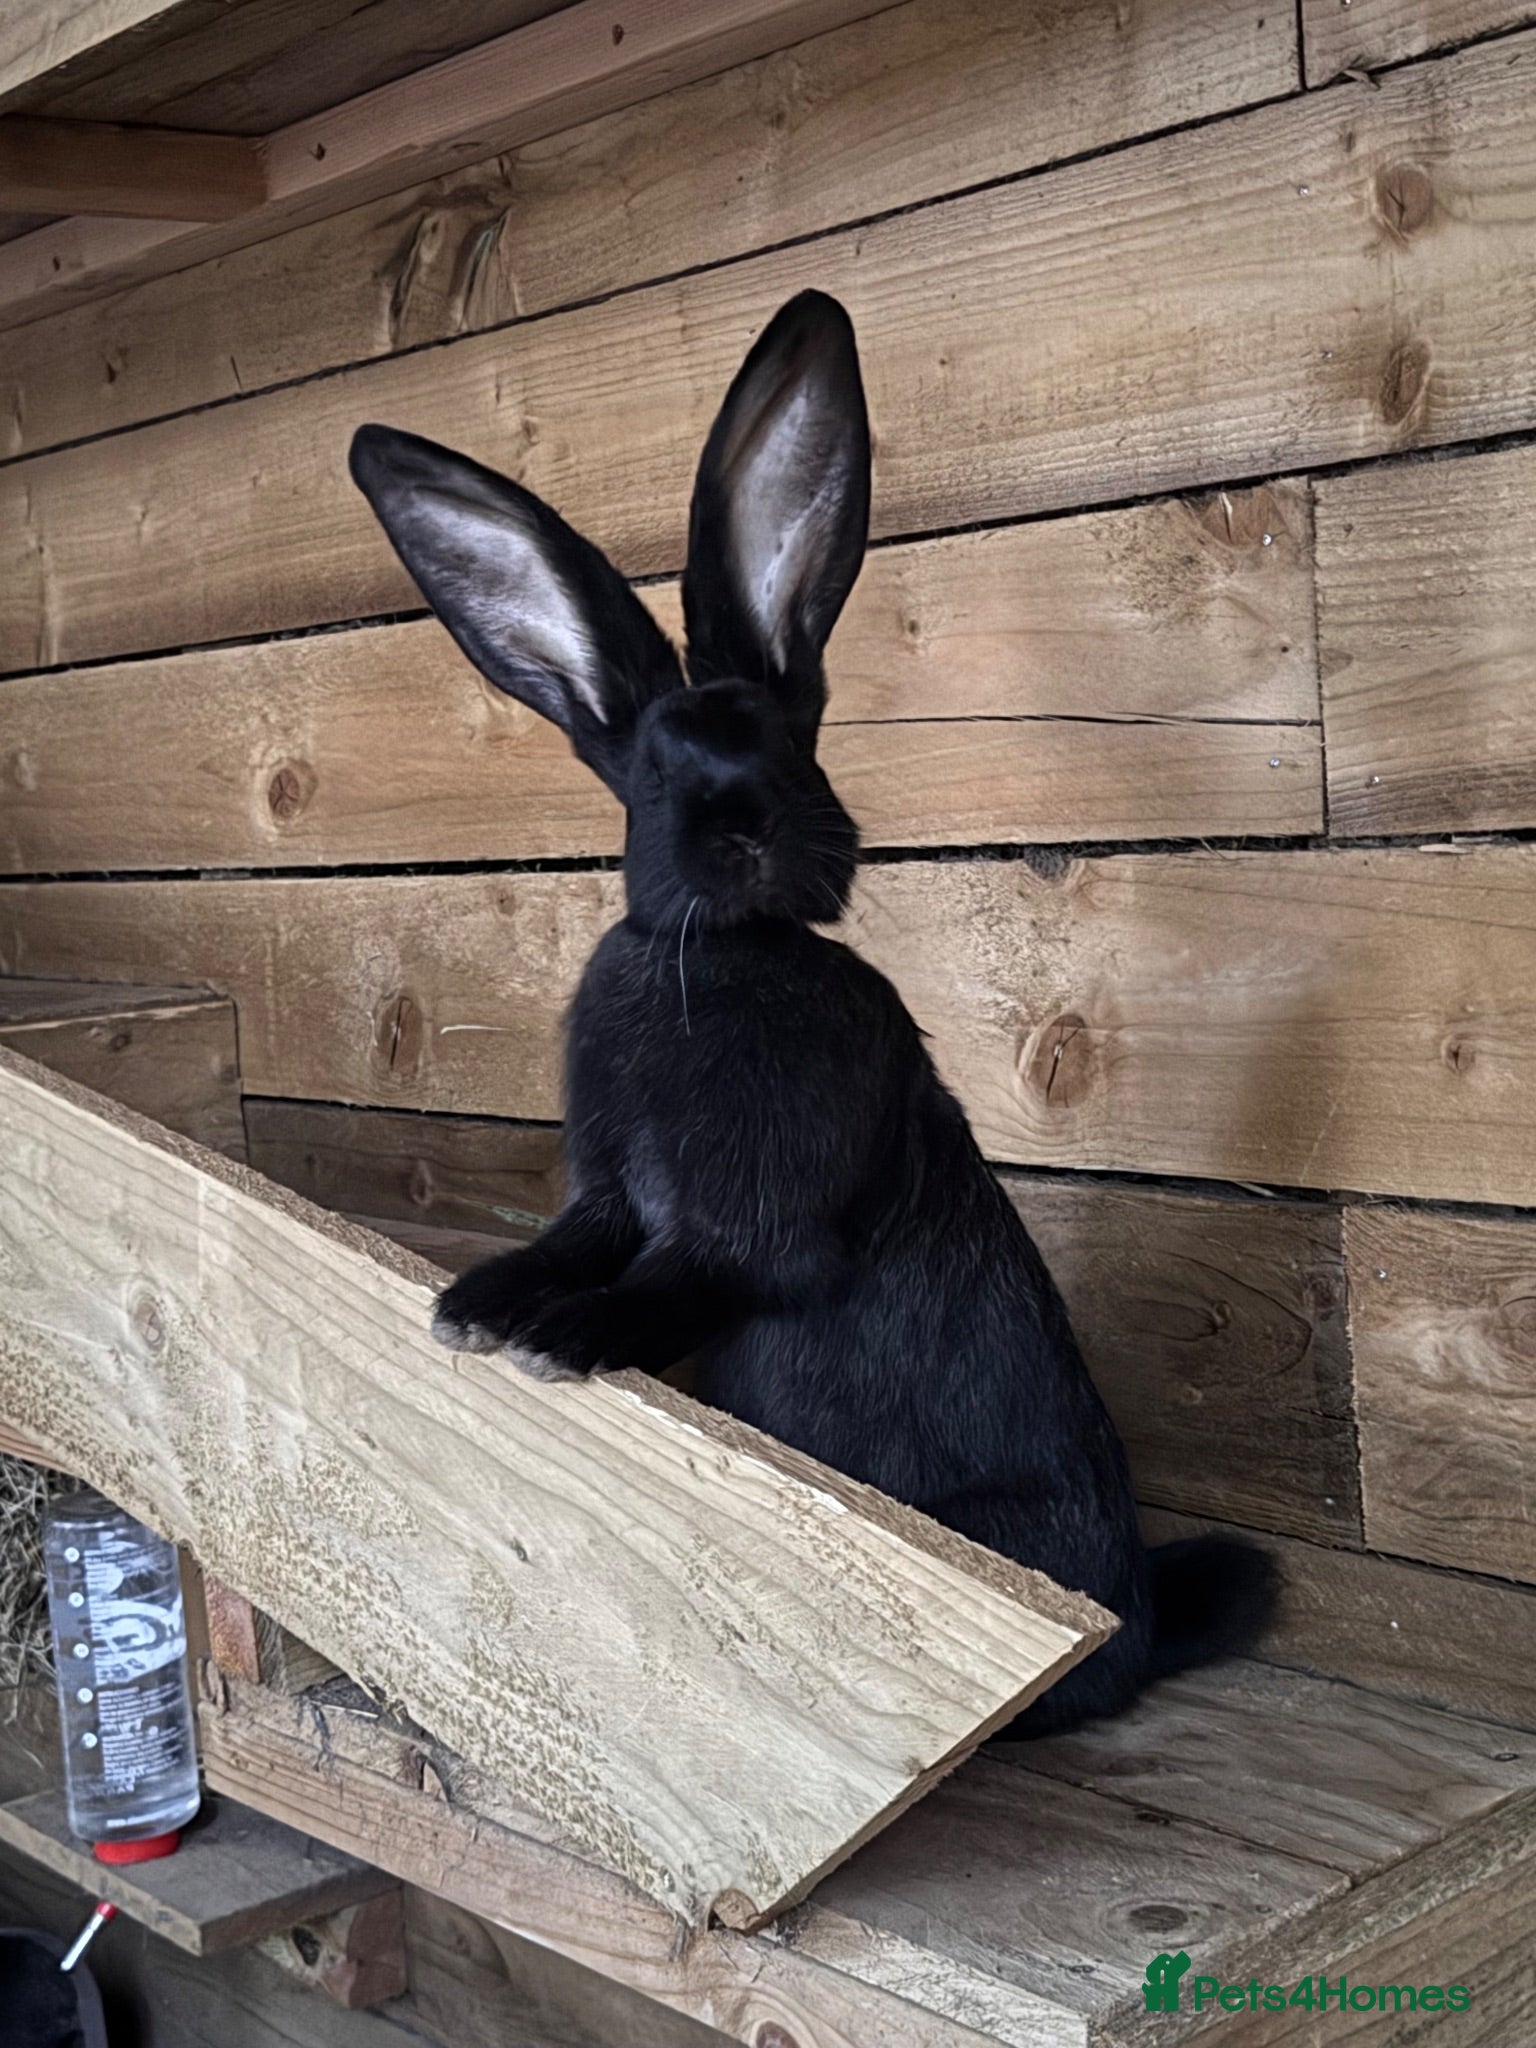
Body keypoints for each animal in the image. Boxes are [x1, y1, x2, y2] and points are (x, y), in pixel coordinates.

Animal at [349, 289, 1274, 1735]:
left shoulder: (757, 1230)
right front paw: (481, 1305)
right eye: (650, 774)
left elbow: (683, 1276)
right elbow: (572, 1240)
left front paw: (562, 1338)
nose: (749, 827)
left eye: (795, 746)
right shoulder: (606, 1192)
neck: (728, 956)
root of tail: (1140, 1618)